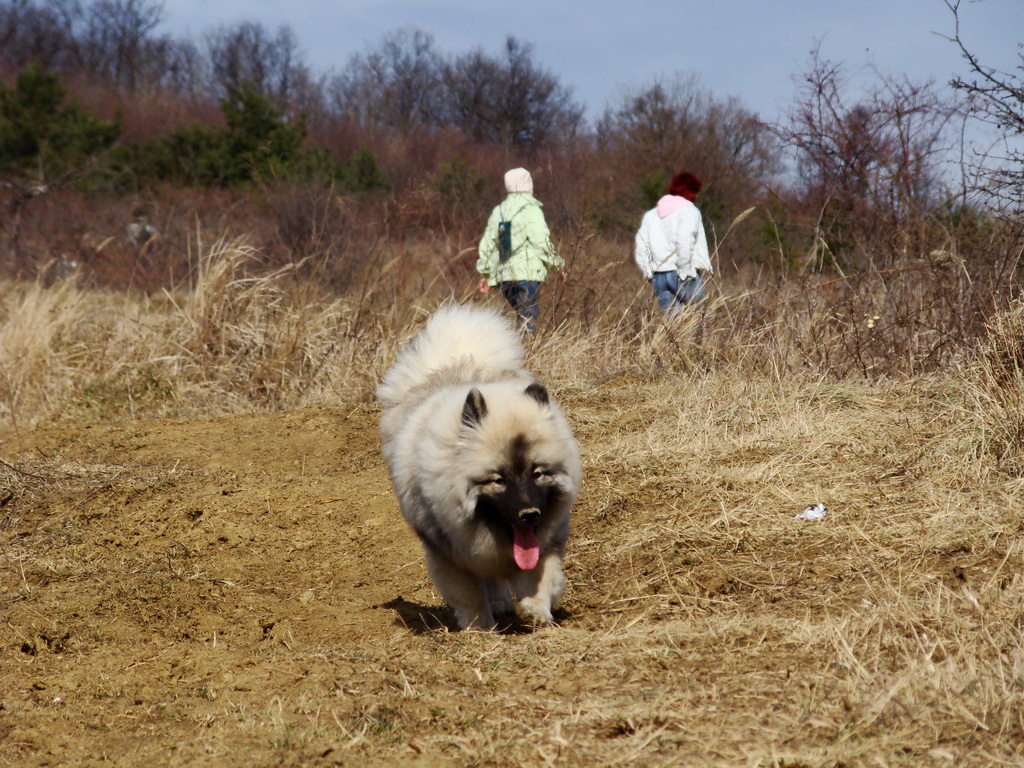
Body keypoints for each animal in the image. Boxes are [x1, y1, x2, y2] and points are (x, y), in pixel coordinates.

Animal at [380, 303, 581, 626]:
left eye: (537, 474)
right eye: (499, 479)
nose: (529, 515)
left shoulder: (547, 543)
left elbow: (541, 578)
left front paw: (536, 611)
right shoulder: (450, 554)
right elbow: (470, 596)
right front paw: (480, 629)